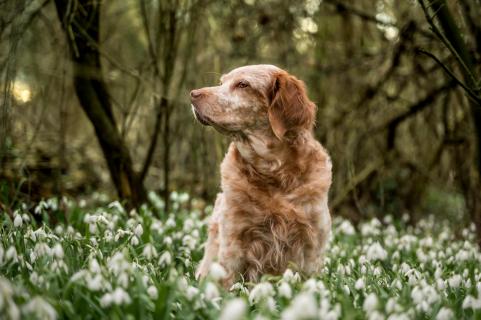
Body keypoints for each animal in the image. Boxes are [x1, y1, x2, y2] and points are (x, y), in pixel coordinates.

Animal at [189, 63, 332, 286]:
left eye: (243, 84)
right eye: (221, 82)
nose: (193, 94)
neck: (273, 173)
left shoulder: (311, 246)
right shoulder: (234, 242)